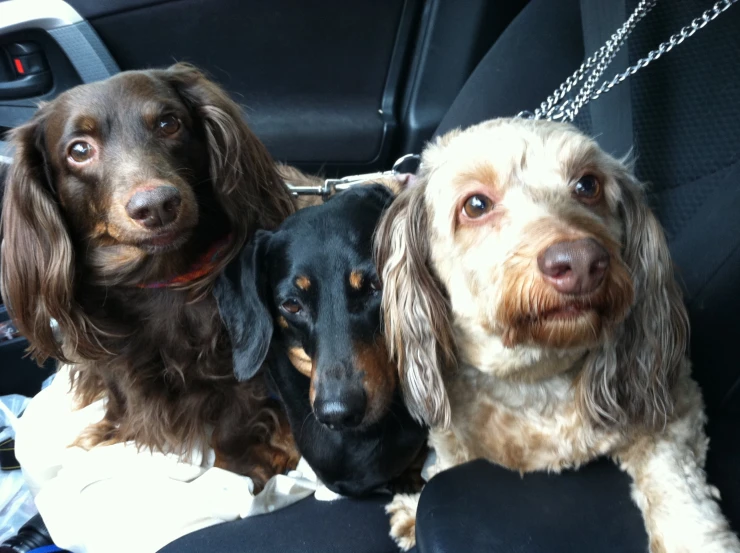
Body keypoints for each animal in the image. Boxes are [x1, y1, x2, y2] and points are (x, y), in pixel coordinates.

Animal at [1, 63, 300, 488]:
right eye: (79, 150)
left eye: (168, 123)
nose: (157, 205)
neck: (161, 278)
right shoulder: (112, 364)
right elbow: (122, 395)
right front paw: (113, 428)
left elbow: (236, 416)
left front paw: (249, 464)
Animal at [376, 117, 740, 552]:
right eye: (475, 205)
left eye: (588, 184)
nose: (582, 262)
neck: (533, 374)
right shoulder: (453, 434)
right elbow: (448, 461)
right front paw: (414, 509)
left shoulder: (675, 407)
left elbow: (677, 487)